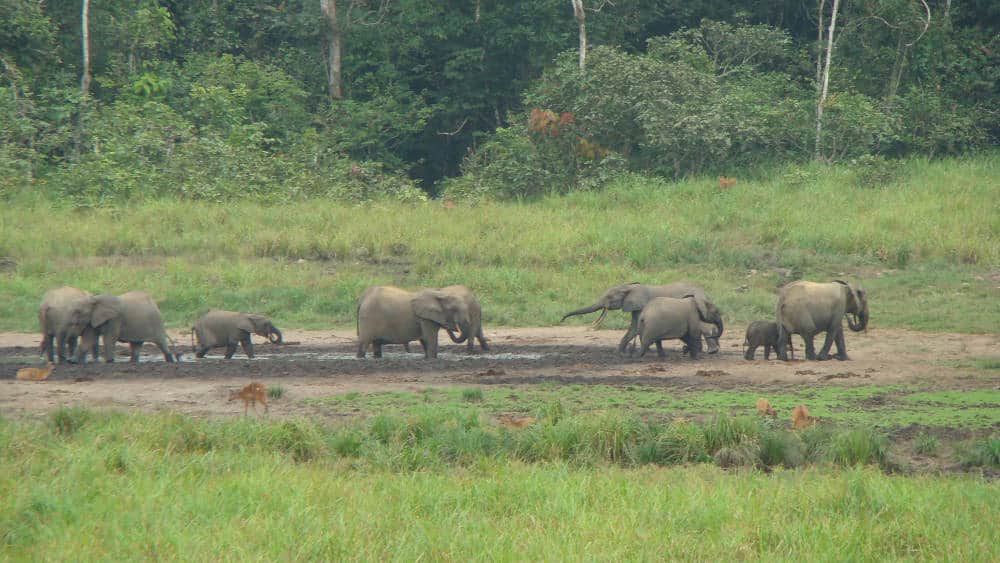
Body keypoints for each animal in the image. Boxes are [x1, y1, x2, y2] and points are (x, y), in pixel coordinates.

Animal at [560, 282, 724, 356]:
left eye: (609, 297)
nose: (561, 320)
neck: (628, 287)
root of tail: (704, 292)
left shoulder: (642, 305)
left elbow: (637, 328)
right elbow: (633, 328)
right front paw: (619, 353)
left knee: (704, 326)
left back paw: (711, 351)